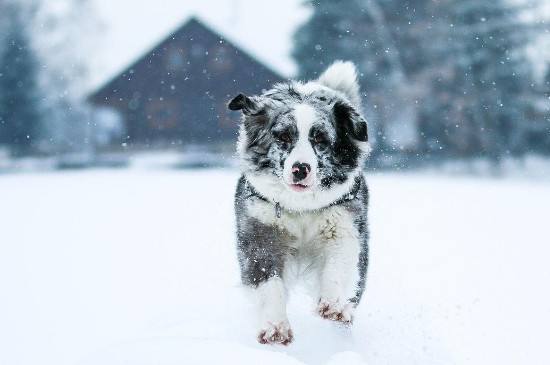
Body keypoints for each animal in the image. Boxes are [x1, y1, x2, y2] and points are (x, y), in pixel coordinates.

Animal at [229, 60, 370, 344]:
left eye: (320, 139)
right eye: (283, 137)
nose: (300, 169)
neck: (301, 208)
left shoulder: (344, 227)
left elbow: (337, 266)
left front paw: (334, 304)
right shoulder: (261, 234)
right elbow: (268, 282)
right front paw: (275, 326)